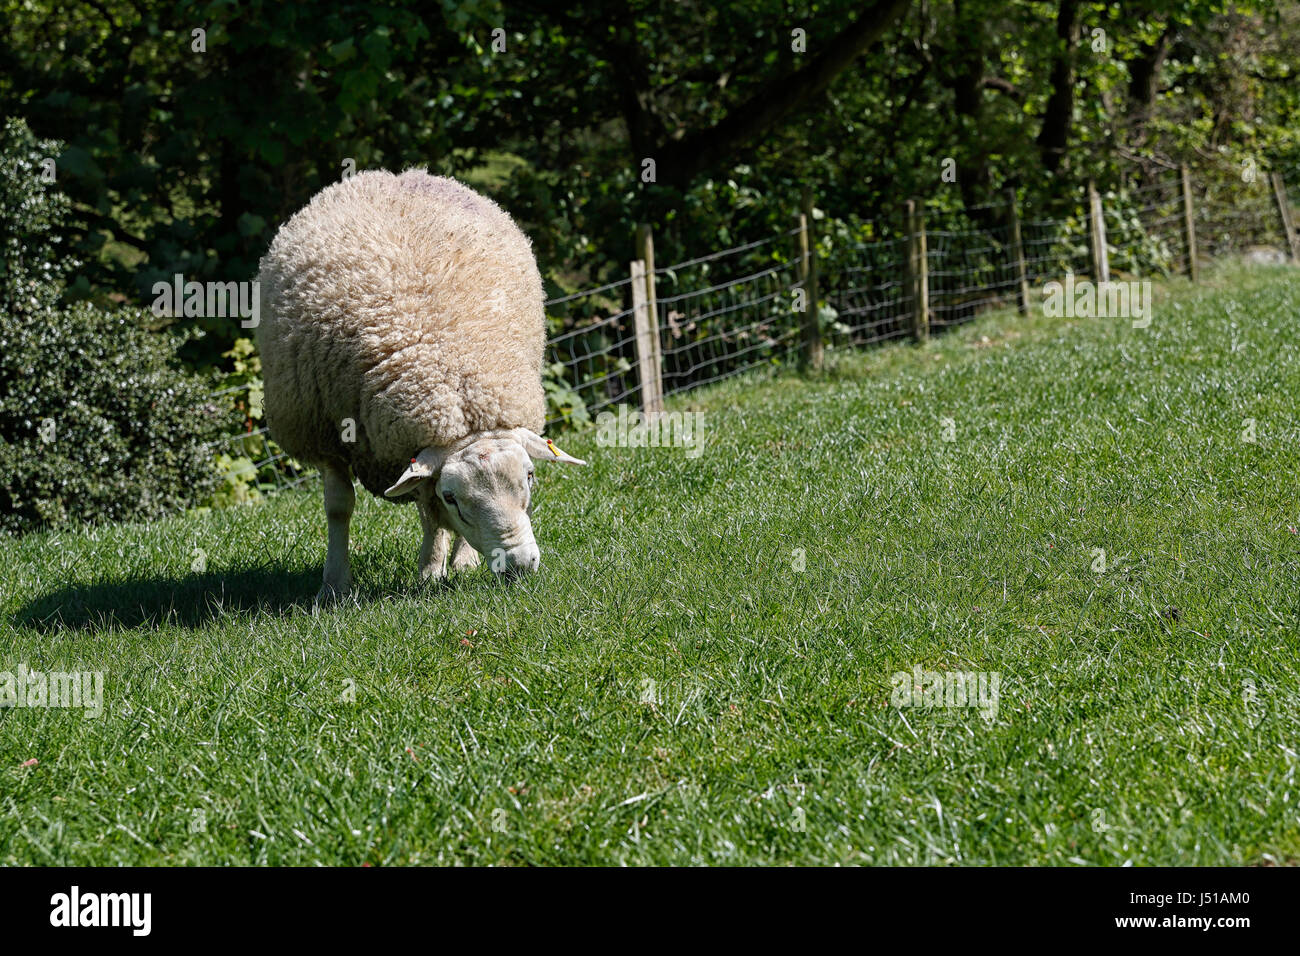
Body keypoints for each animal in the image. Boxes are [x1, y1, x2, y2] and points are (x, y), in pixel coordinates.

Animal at [254, 165, 590, 598]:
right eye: (452, 496)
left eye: (530, 477)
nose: (520, 565)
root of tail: (395, 174)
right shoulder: (325, 434)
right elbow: (340, 507)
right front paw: (335, 585)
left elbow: (428, 512)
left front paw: (436, 568)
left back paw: (460, 560)